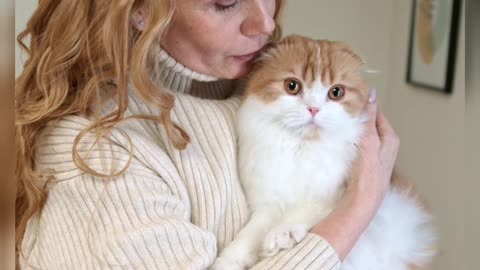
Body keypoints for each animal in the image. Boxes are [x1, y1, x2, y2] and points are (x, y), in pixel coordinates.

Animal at [212, 35, 436, 270]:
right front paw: (229, 259)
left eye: (336, 92)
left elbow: (307, 210)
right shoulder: (269, 202)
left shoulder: (335, 195)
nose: (314, 109)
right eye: (292, 86)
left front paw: (282, 234)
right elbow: (250, 233)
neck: (303, 150)